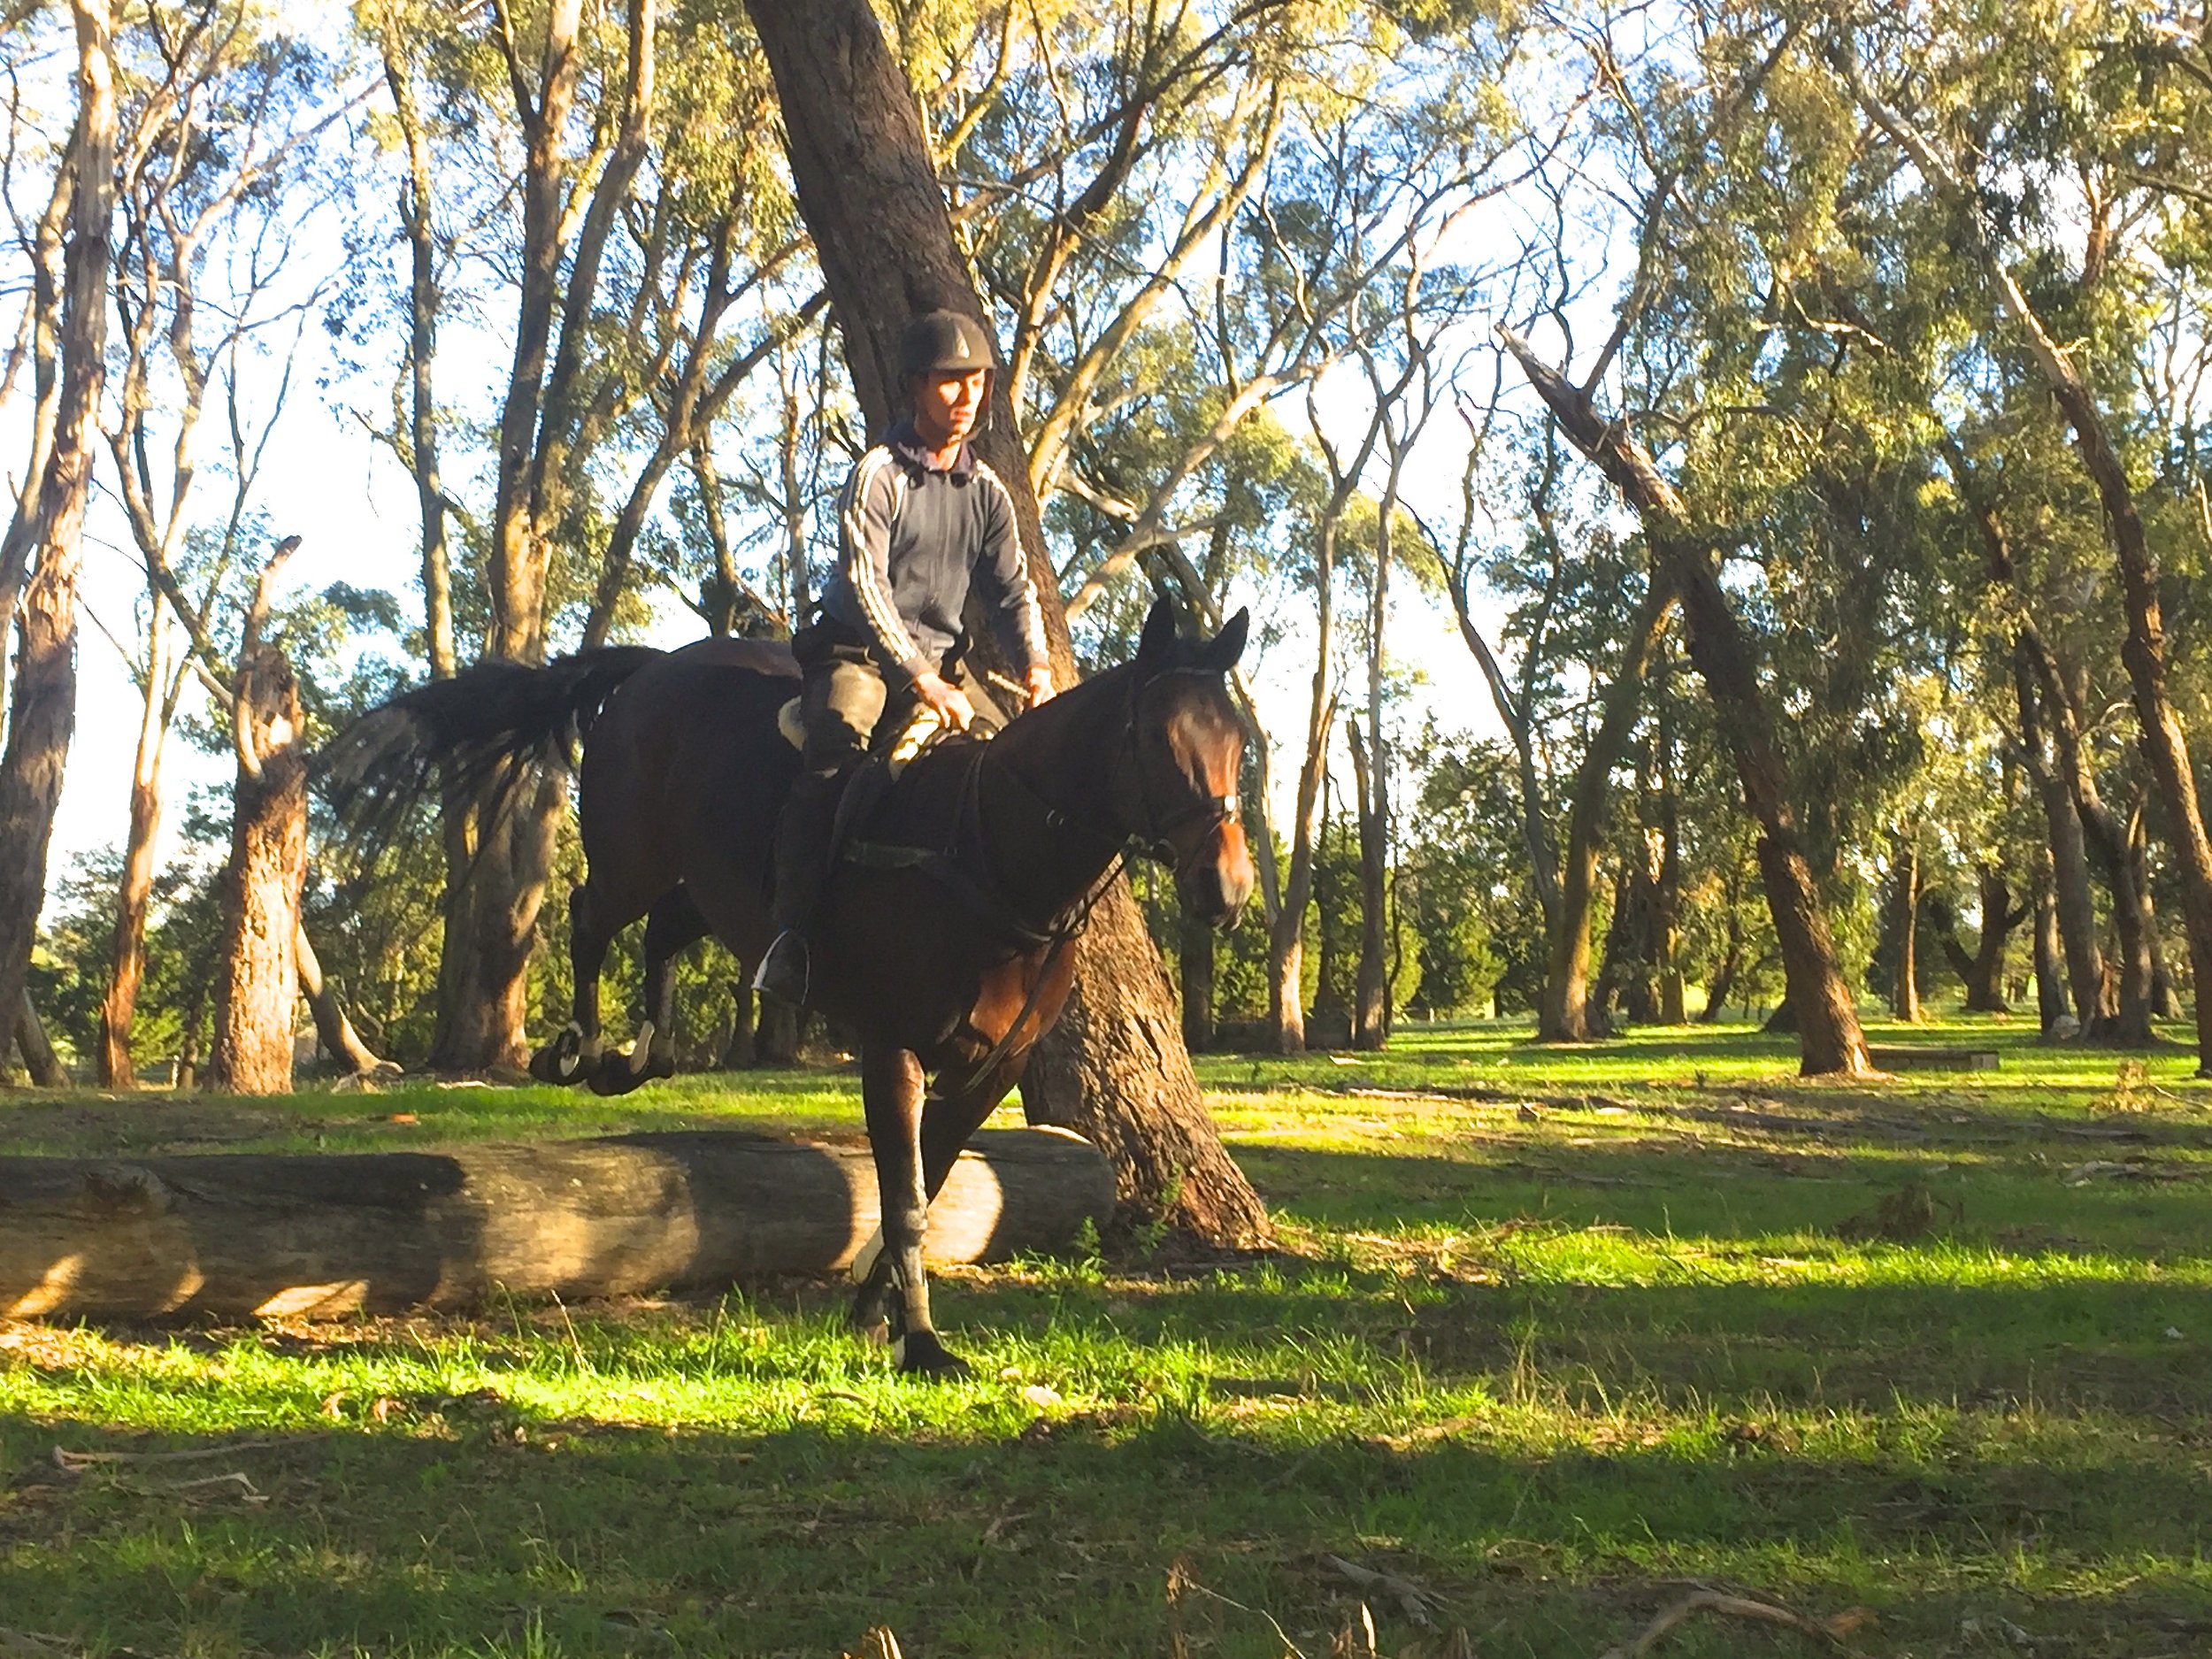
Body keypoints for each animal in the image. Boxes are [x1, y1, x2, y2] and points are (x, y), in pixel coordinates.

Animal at [326, 595, 1255, 1376]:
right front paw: (921, 1342)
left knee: (662, 932)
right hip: (635, 857)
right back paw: (585, 1052)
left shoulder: (991, 1071)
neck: (991, 854)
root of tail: (658, 664)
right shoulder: (892, 1050)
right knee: (591, 917)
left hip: (714, 886)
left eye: (1239, 740)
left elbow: (929, 1181)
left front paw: (875, 1315)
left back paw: (641, 1054)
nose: (1229, 888)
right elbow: (906, 1198)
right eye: (1158, 740)